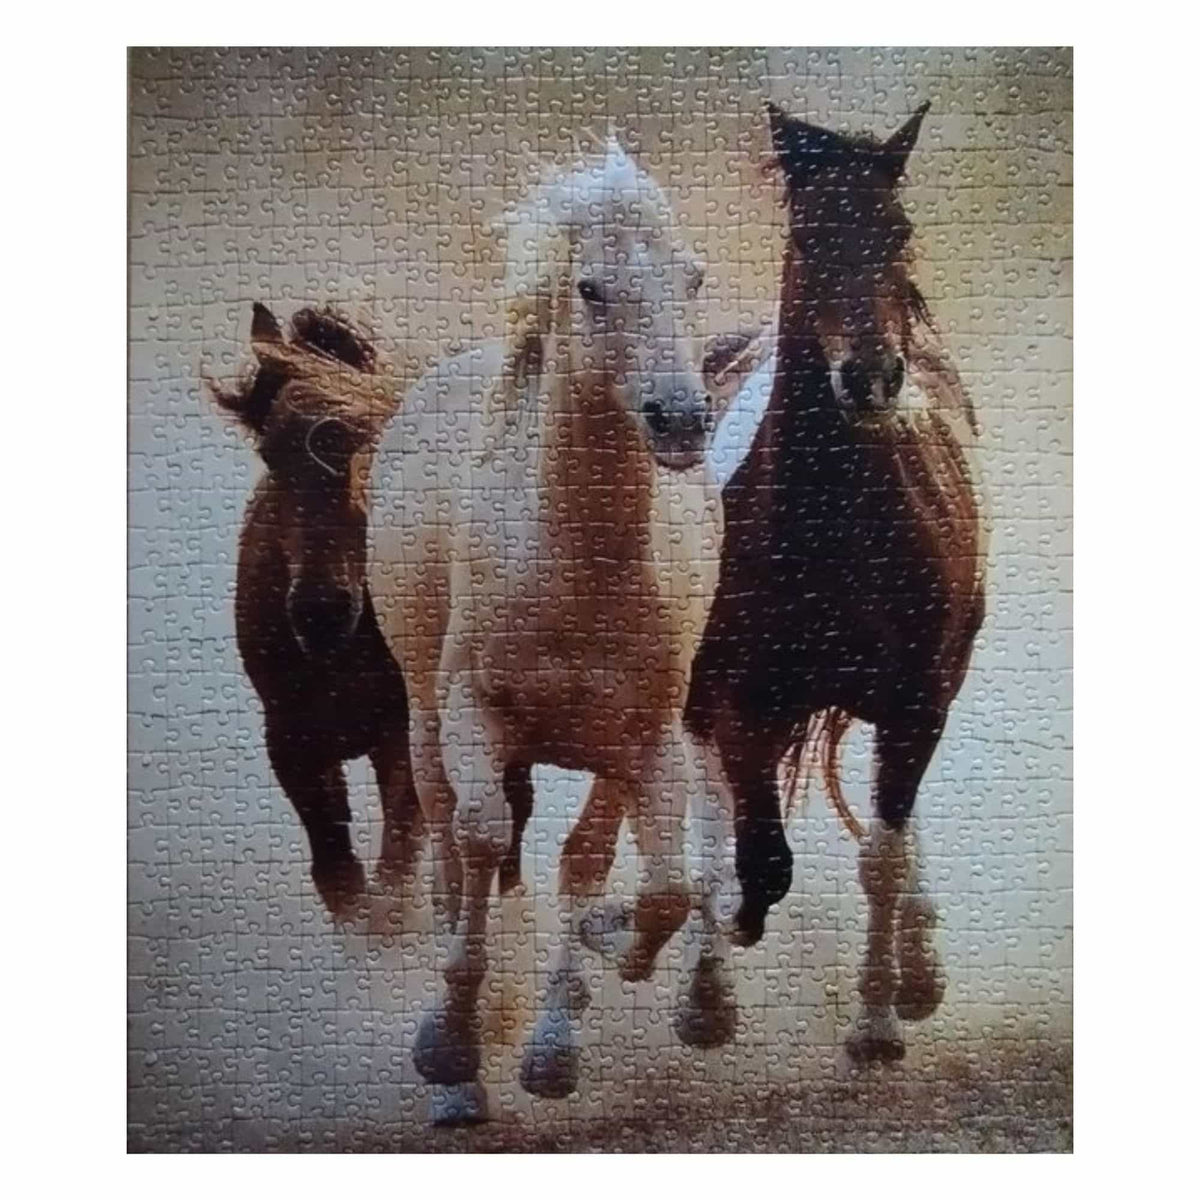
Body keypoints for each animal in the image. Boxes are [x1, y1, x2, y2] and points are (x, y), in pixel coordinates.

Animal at [207, 303, 425, 918]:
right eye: (270, 455)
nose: (322, 612)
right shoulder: (294, 748)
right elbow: (340, 877)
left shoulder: (399, 738)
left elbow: (395, 876)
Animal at [368, 140, 725, 1122]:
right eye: (592, 289)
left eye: (693, 277)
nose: (682, 419)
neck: (575, 572)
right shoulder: (471, 716)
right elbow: (482, 840)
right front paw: (450, 1047)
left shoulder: (644, 742)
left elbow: (633, 880)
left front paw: (563, 1034)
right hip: (422, 720)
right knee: (450, 842)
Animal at [684, 102, 986, 1063]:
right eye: (811, 238)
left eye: (899, 231)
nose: (872, 375)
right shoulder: (737, 700)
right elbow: (753, 852)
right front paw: (723, 959)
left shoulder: (918, 697)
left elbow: (881, 854)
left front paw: (882, 1019)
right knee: (713, 822)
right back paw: (706, 984)